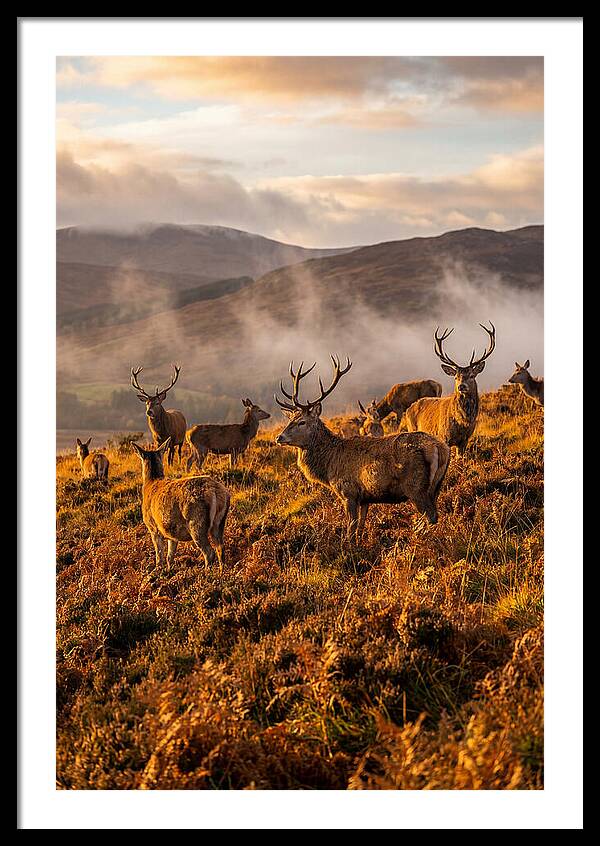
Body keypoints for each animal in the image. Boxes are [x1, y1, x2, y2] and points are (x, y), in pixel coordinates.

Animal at [131, 437, 230, 572]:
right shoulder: (170, 532)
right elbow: (170, 556)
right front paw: (169, 570)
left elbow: (159, 556)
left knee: (209, 552)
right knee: (220, 547)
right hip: (219, 522)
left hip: (196, 522)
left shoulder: (153, 527)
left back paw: (206, 573)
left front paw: (158, 571)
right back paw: (221, 572)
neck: (151, 483)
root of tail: (216, 492)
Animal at [274, 356, 450, 542]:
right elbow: (360, 526)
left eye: (302, 422)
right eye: (290, 420)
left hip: (416, 487)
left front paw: (348, 545)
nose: (279, 437)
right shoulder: (365, 498)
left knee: (431, 516)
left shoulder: (348, 492)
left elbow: (351, 528)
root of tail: (440, 448)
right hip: (437, 485)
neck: (328, 467)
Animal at [403, 322, 496, 455]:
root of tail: (408, 409)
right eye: (456, 377)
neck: (463, 423)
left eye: (472, 375)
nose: (461, 386)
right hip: (412, 428)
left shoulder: (465, 440)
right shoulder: (444, 436)